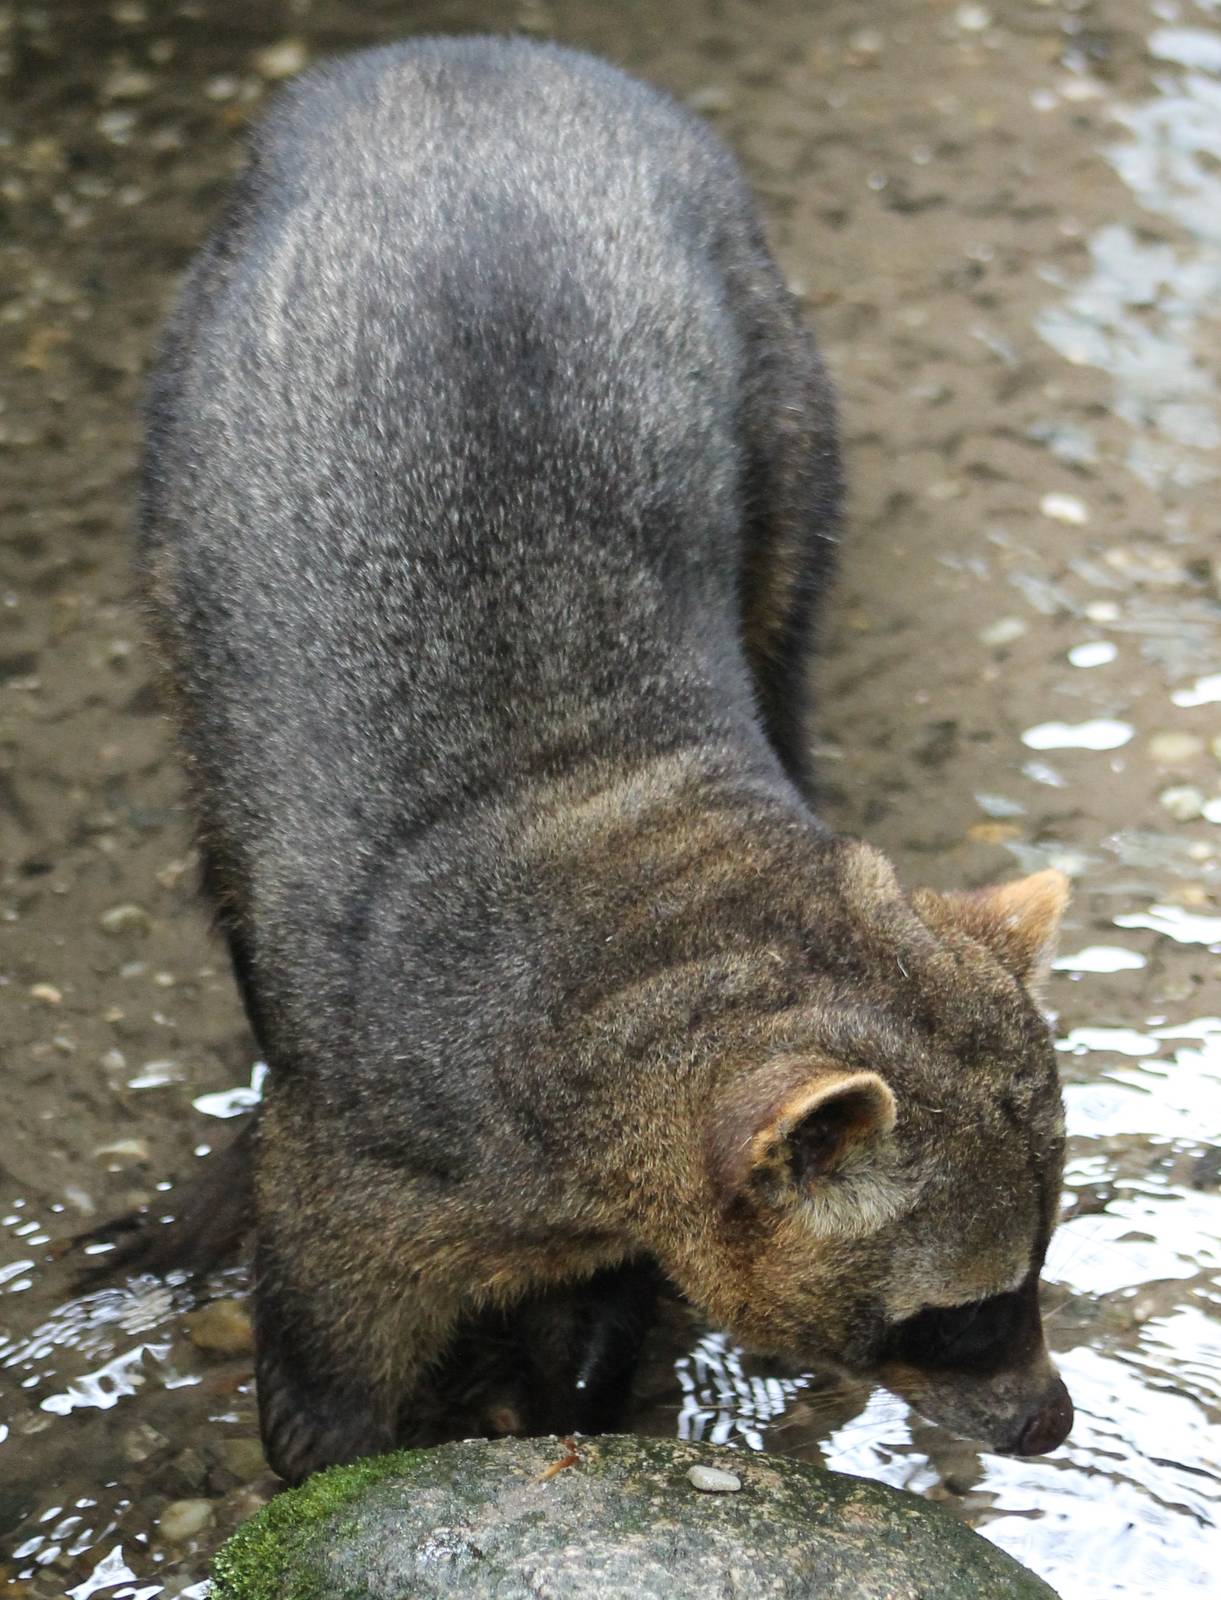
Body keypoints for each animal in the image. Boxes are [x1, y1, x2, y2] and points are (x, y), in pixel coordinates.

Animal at [129, 35, 1072, 1483]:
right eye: (964, 1315)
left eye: (1041, 1266)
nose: (1054, 1420)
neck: (637, 846)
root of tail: (465, 52)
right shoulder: (370, 1148)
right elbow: (326, 1378)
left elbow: (599, 1305)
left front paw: (574, 1376)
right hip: (184, 463)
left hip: (778, 388)